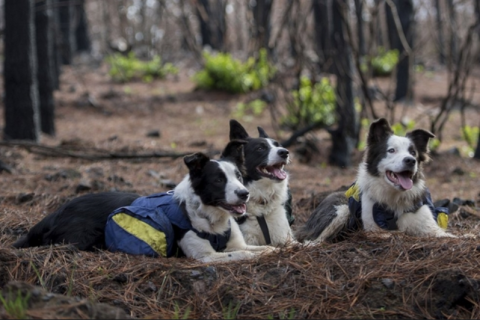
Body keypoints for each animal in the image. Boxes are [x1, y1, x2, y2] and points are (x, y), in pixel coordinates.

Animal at [14, 141, 274, 264]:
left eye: (238, 176)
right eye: (219, 180)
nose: (244, 194)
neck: (211, 218)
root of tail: (55, 213)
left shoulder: (236, 244)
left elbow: (262, 248)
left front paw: (277, 250)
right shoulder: (203, 257)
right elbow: (242, 255)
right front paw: (254, 257)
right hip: (85, 237)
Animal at [294, 118, 456, 242]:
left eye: (413, 152)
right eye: (391, 150)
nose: (410, 160)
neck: (395, 197)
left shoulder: (428, 225)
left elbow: (447, 235)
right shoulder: (375, 230)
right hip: (341, 209)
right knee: (310, 241)